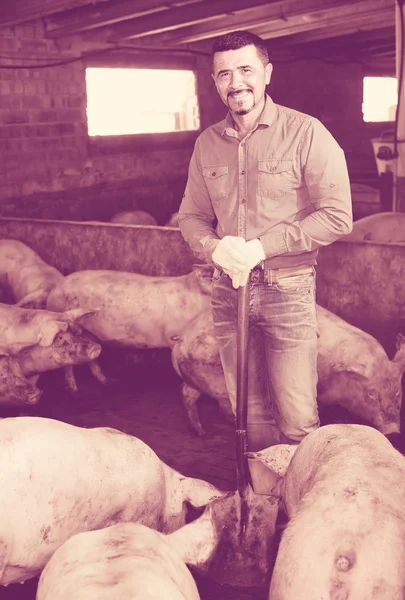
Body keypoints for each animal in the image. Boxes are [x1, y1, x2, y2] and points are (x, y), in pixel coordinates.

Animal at [170, 304, 404, 436]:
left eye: (397, 392)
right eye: (371, 394)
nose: (393, 432)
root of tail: (182, 339)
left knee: (186, 392)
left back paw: (200, 432)